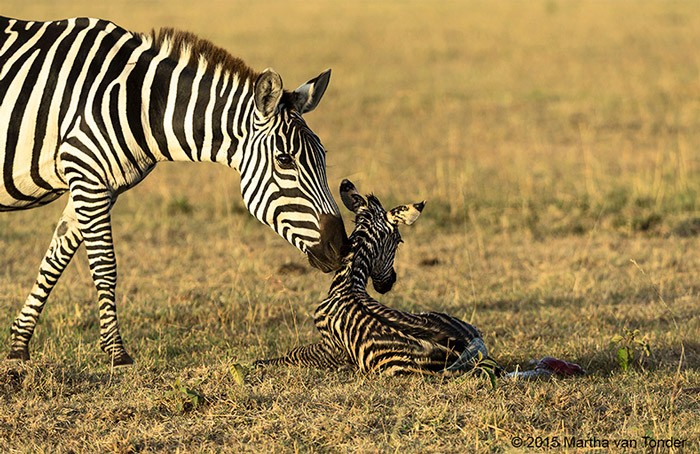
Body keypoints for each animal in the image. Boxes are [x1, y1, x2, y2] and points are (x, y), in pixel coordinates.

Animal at [0, 17, 348, 366]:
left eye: (324, 156)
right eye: (285, 160)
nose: (340, 248)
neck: (141, 104)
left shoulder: (99, 184)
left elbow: (55, 258)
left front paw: (19, 344)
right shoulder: (87, 173)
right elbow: (105, 265)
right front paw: (116, 352)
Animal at [258, 180, 504, 376]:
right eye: (400, 241)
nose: (390, 282)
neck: (349, 283)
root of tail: (470, 347)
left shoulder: (328, 348)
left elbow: (294, 353)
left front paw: (261, 362)